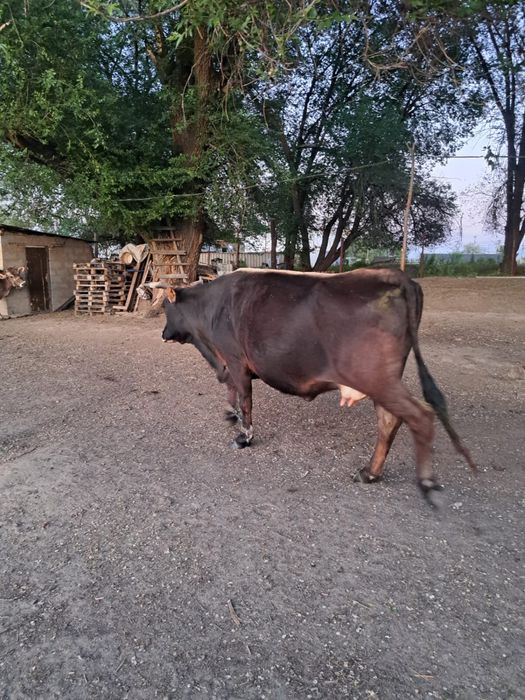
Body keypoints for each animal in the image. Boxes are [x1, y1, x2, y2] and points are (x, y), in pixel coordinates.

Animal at [157, 268, 476, 502]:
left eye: (165, 308)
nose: (163, 334)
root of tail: (394, 275)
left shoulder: (235, 360)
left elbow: (245, 398)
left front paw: (244, 436)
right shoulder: (229, 364)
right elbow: (232, 391)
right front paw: (230, 414)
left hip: (377, 378)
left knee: (419, 416)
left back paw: (425, 481)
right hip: (382, 381)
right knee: (389, 420)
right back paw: (369, 473)